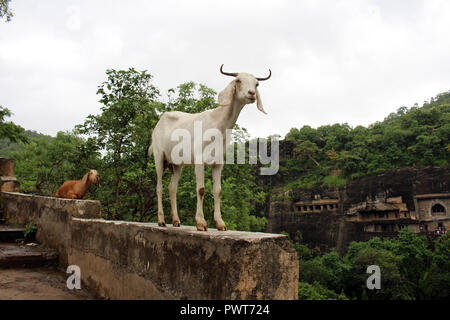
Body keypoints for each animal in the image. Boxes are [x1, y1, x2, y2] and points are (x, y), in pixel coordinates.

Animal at [149, 64, 272, 230]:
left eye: (256, 84)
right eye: (238, 80)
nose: (251, 93)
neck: (218, 124)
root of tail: (159, 122)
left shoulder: (218, 162)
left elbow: (218, 190)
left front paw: (220, 223)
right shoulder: (199, 160)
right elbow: (201, 190)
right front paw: (201, 223)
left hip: (177, 163)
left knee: (172, 187)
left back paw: (176, 221)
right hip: (158, 156)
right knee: (159, 187)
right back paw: (161, 221)